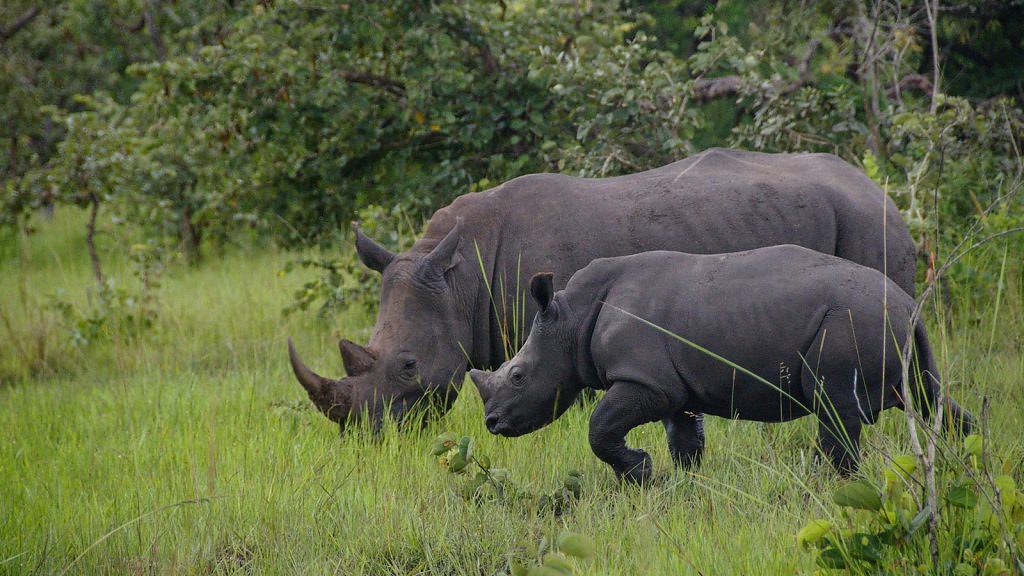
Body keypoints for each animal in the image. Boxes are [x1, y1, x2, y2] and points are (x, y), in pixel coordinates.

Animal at [469, 247, 972, 481]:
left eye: (518, 376)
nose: (491, 423)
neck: (571, 319)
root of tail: (908, 305)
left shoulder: (645, 381)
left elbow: (600, 427)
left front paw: (641, 474)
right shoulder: (673, 389)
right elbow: (685, 442)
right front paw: (678, 485)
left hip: (852, 321)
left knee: (835, 410)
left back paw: (829, 484)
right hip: (893, 331)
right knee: (930, 398)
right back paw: (966, 458)